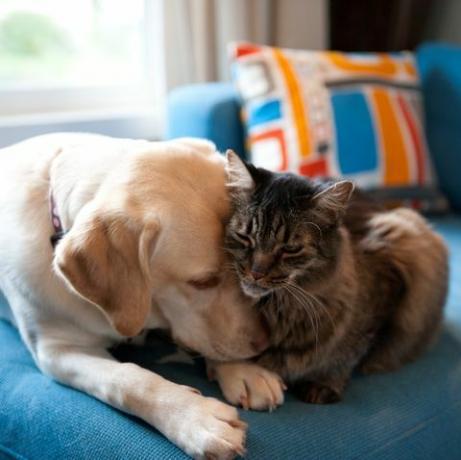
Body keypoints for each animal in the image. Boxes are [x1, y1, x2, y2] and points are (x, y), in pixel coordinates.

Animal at [0, 132, 274, 456]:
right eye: (203, 281)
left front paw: (243, 371)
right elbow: (127, 380)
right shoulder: (56, 351)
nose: (265, 344)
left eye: (243, 267)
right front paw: (194, 418)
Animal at [217, 153, 450, 404]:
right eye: (245, 237)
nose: (256, 272)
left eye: (290, 249)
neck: (280, 309)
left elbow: (349, 352)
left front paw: (325, 382)